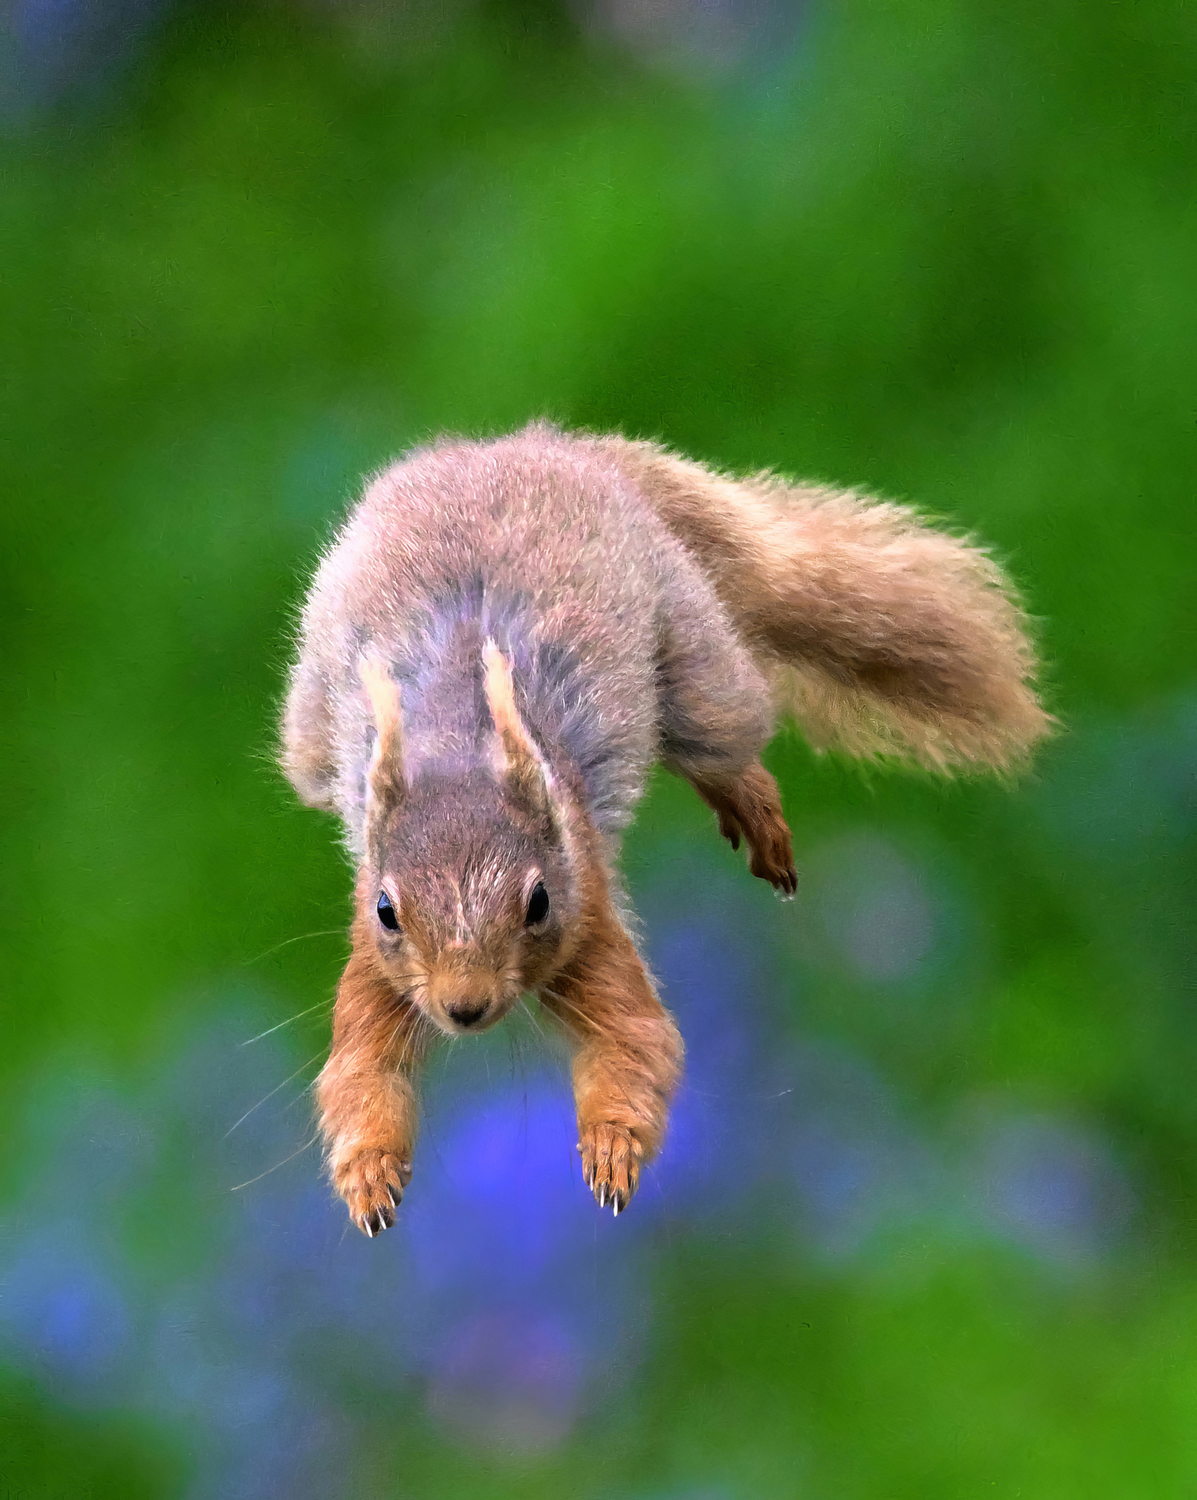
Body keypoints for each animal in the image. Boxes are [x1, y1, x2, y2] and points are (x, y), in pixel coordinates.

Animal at [280, 423, 1049, 1236]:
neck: (459, 748)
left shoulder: (588, 912)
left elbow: (634, 1041)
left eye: (539, 902)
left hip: (698, 659)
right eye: (386, 911)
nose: (466, 1007)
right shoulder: (376, 967)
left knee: (721, 739)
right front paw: (368, 1174)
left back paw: (753, 809)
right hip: (308, 736)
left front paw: (611, 1148)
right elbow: (360, 1074)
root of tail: (537, 444)